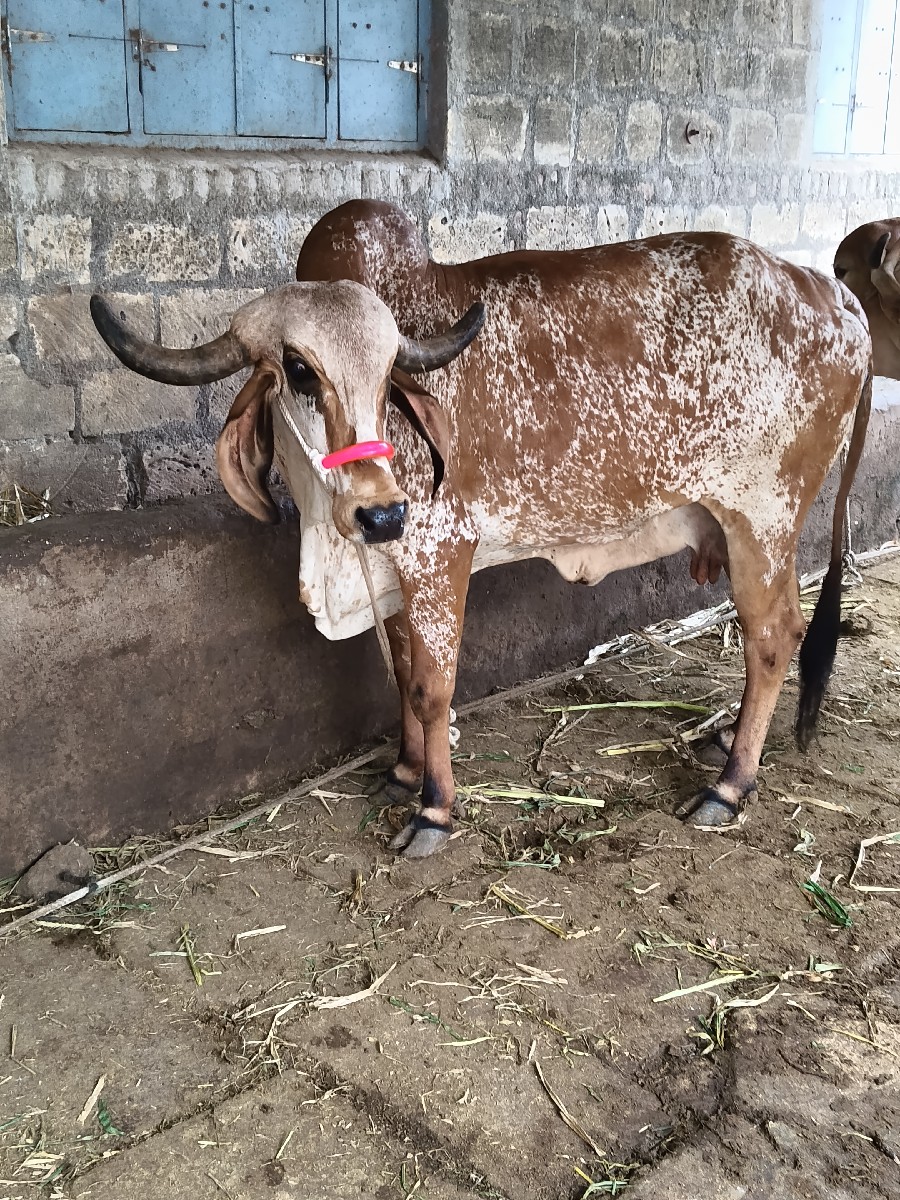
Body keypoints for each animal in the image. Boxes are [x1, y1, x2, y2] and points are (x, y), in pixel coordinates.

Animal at [91, 200, 872, 858]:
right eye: (299, 371)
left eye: (390, 376)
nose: (382, 510)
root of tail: (834, 296)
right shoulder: (394, 568)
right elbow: (401, 675)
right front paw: (405, 772)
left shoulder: (440, 553)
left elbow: (433, 687)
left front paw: (435, 809)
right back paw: (726, 741)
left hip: (762, 520)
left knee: (773, 639)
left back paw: (730, 784)